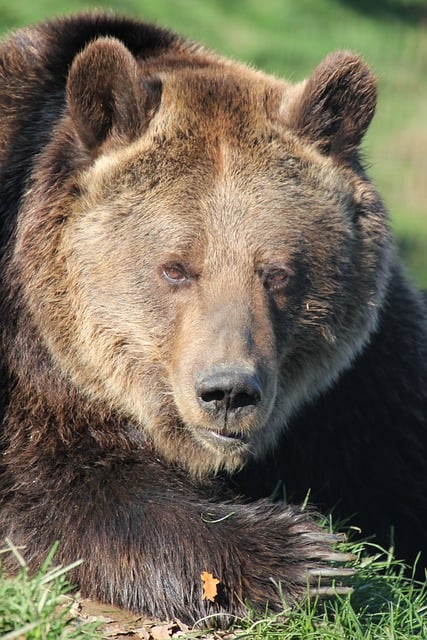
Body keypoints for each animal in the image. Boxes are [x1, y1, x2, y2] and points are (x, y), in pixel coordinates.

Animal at [0, 12, 426, 628]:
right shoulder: (30, 372)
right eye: (176, 268)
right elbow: (59, 488)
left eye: (277, 272)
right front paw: (301, 559)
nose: (228, 391)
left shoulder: (364, 381)